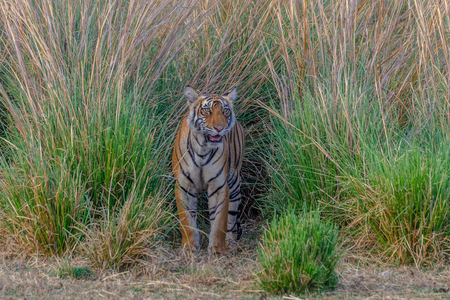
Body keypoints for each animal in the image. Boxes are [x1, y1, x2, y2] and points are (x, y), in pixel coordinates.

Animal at [172, 85, 244, 254]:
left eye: (225, 111)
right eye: (207, 110)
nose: (220, 128)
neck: (203, 150)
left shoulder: (219, 186)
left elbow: (219, 221)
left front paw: (217, 249)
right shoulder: (184, 185)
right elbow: (186, 219)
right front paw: (189, 247)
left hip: (234, 183)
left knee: (232, 217)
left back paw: (231, 244)